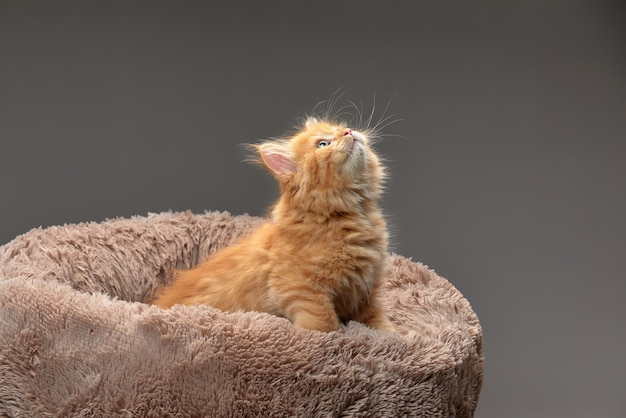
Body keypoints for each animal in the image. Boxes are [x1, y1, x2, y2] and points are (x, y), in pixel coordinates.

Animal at [152, 116, 392, 332]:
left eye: (340, 127)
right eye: (323, 144)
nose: (348, 131)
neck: (350, 213)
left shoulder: (366, 290)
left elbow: (379, 322)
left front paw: (393, 336)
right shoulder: (296, 286)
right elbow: (324, 322)